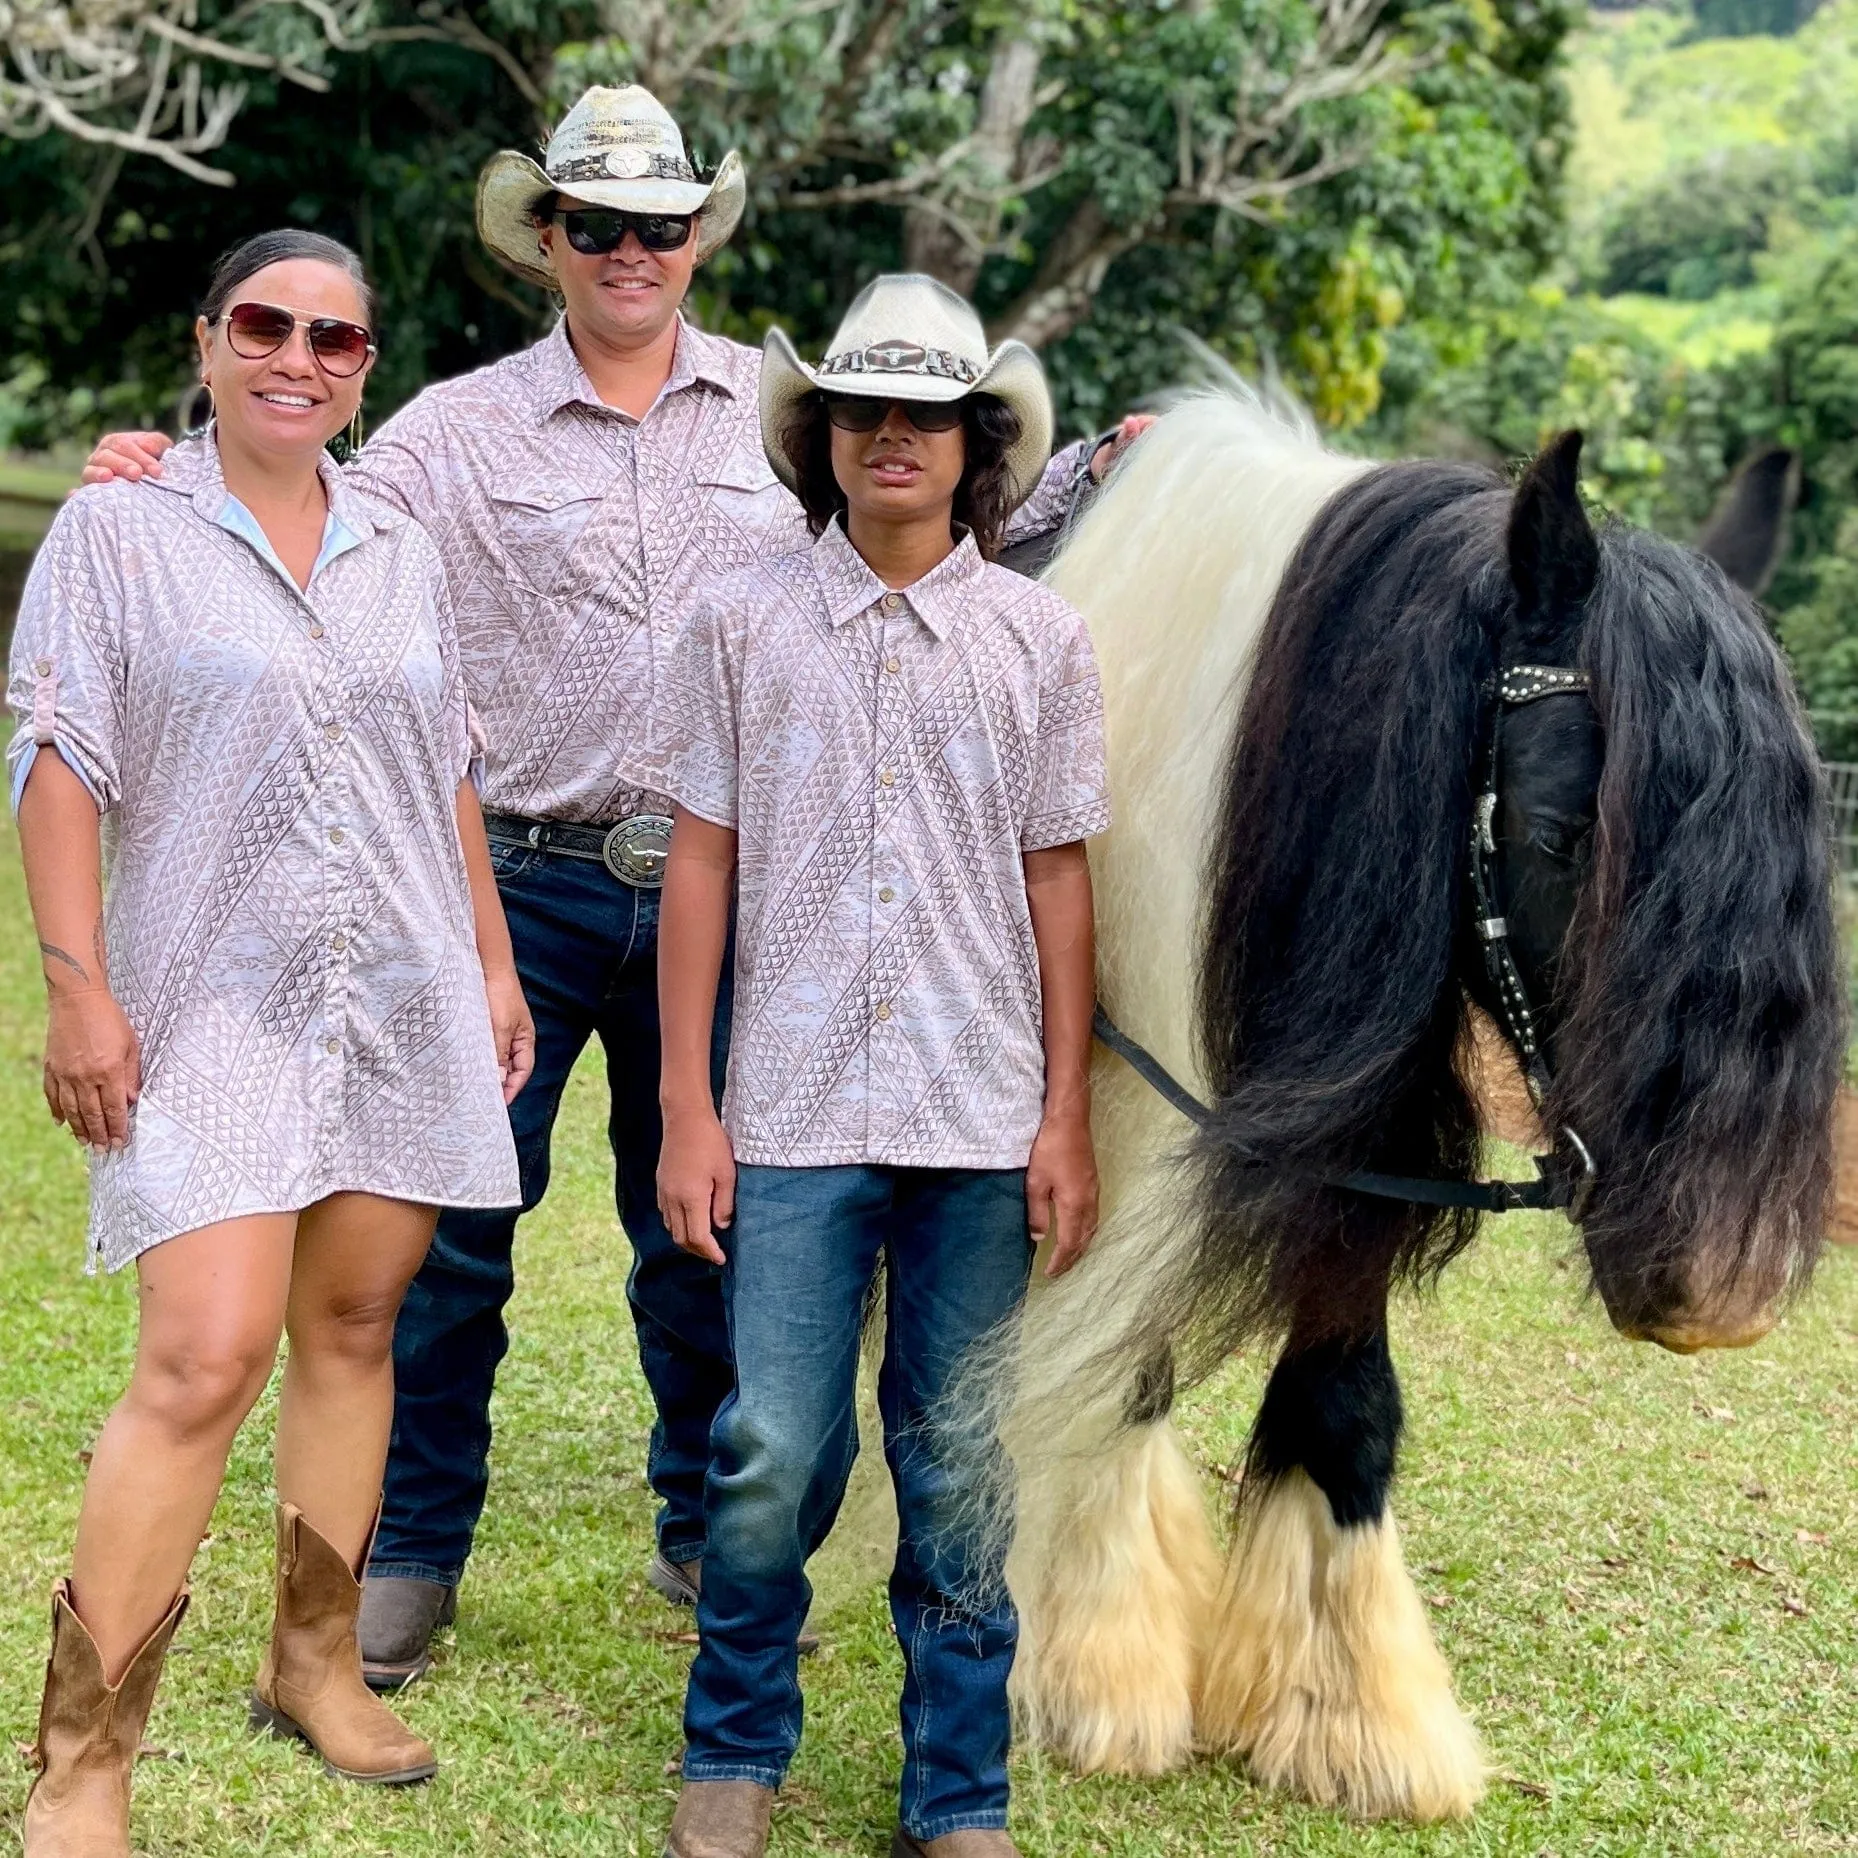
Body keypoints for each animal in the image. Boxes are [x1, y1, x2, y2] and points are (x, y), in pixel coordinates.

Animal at [981, 395, 1835, 1813]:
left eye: (1799, 852)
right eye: (1555, 835)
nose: (1715, 1294)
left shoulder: (1353, 1147)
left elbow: (1347, 1402)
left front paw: (1348, 1715)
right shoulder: (1100, 1143)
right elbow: (1109, 1360)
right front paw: (1099, 1665)